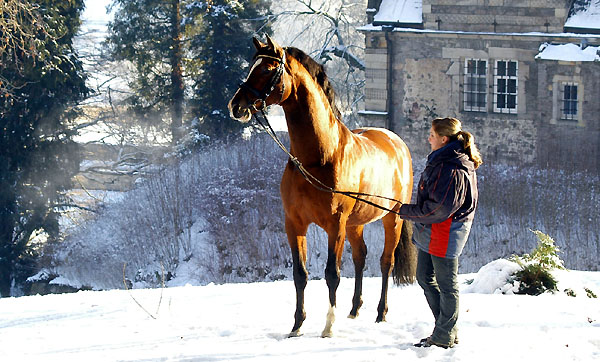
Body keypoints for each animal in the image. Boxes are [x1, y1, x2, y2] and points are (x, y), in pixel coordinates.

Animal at [227, 35, 414, 338]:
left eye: (267, 69)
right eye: (251, 66)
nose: (236, 106)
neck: (317, 157)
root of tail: (397, 142)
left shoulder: (335, 225)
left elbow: (331, 274)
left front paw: (328, 326)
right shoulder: (294, 223)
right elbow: (300, 274)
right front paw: (296, 325)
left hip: (392, 218)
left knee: (386, 262)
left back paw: (380, 313)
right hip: (355, 223)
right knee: (360, 256)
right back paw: (354, 310)